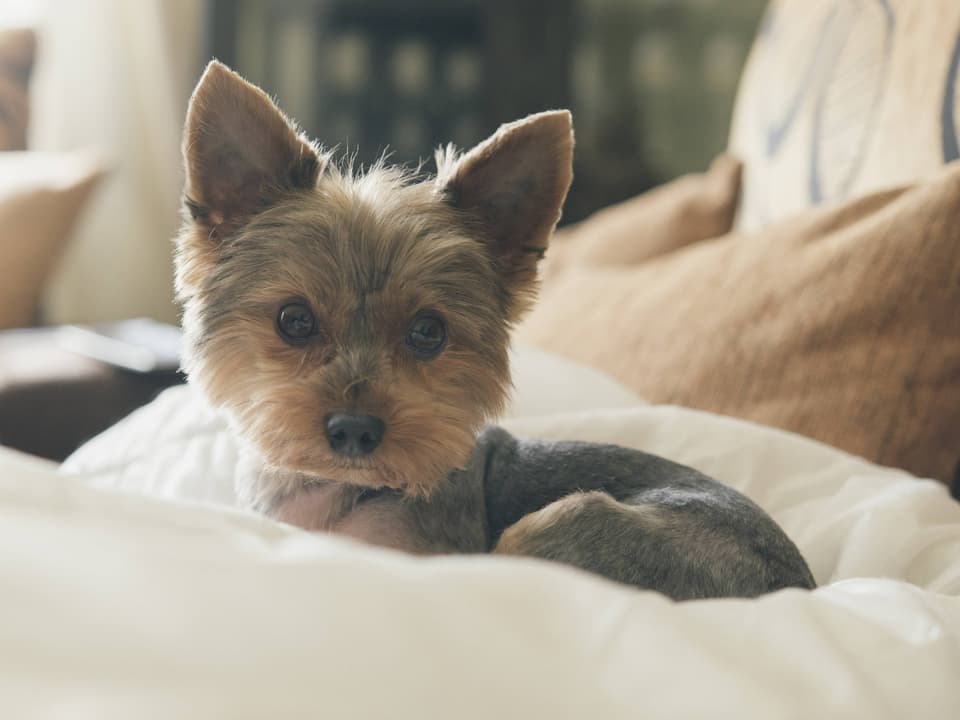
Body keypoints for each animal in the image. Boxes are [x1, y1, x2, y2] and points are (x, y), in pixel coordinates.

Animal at [172, 62, 808, 600]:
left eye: (429, 332)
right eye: (294, 320)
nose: (354, 429)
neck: (335, 491)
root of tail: (795, 588)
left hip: (578, 524)